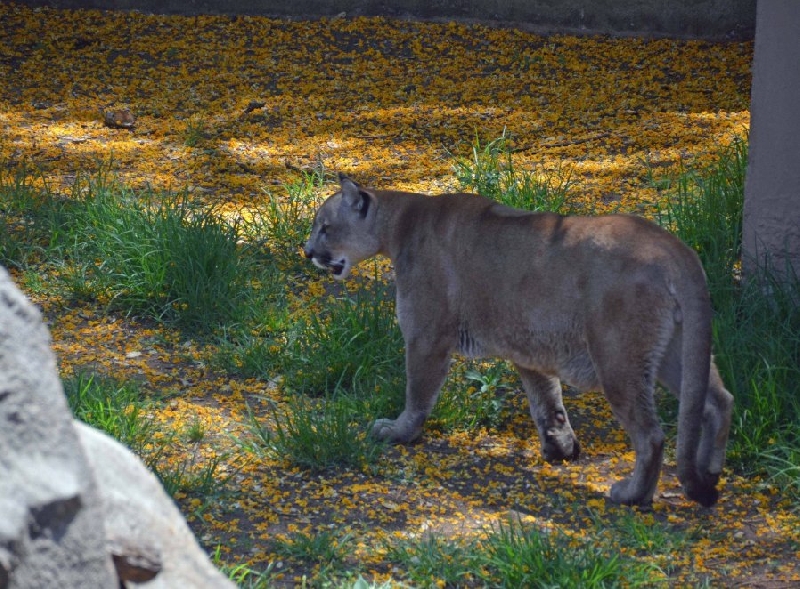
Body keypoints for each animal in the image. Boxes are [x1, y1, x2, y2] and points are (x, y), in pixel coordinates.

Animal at [304, 173, 732, 506]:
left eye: (324, 227)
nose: (307, 251)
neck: (400, 223)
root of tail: (673, 247)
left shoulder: (426, 335)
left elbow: (418, 392)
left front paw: (398, 432)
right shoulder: (529, 347)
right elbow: (546, 401)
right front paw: (560, 448)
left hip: (618, 358)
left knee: (652, 436)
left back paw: (633, 495)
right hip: (674, 351)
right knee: (717, 401)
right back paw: (709, 474)